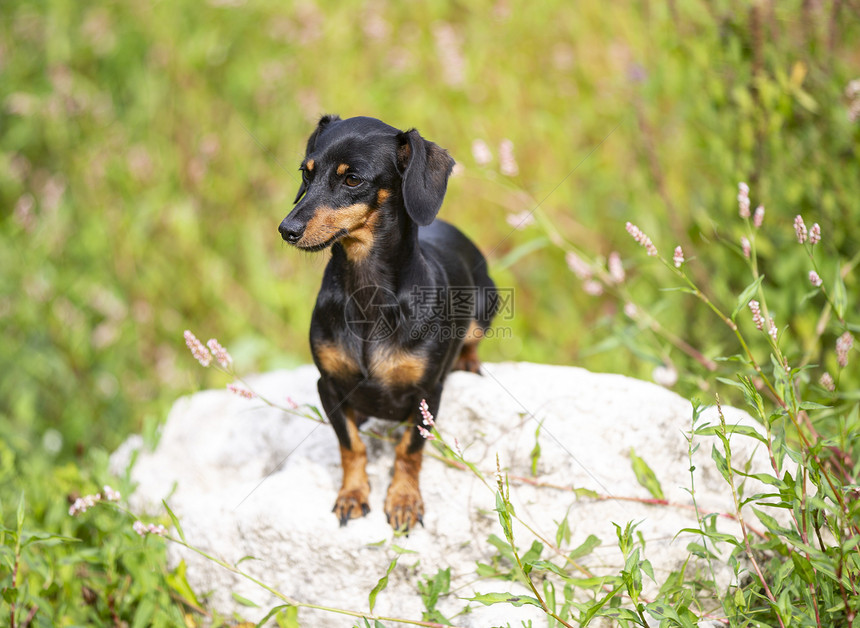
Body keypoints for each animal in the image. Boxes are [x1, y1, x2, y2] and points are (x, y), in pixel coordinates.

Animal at [280, 114, 498, 528]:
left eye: (352, 179)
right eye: (306, 173)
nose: (287, 229)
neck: (368, 292)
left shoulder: (427, 394)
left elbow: (409, 449)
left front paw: (404, 500)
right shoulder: (328, 385)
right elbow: (350, 444)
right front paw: (352, 494)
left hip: (485, 308)